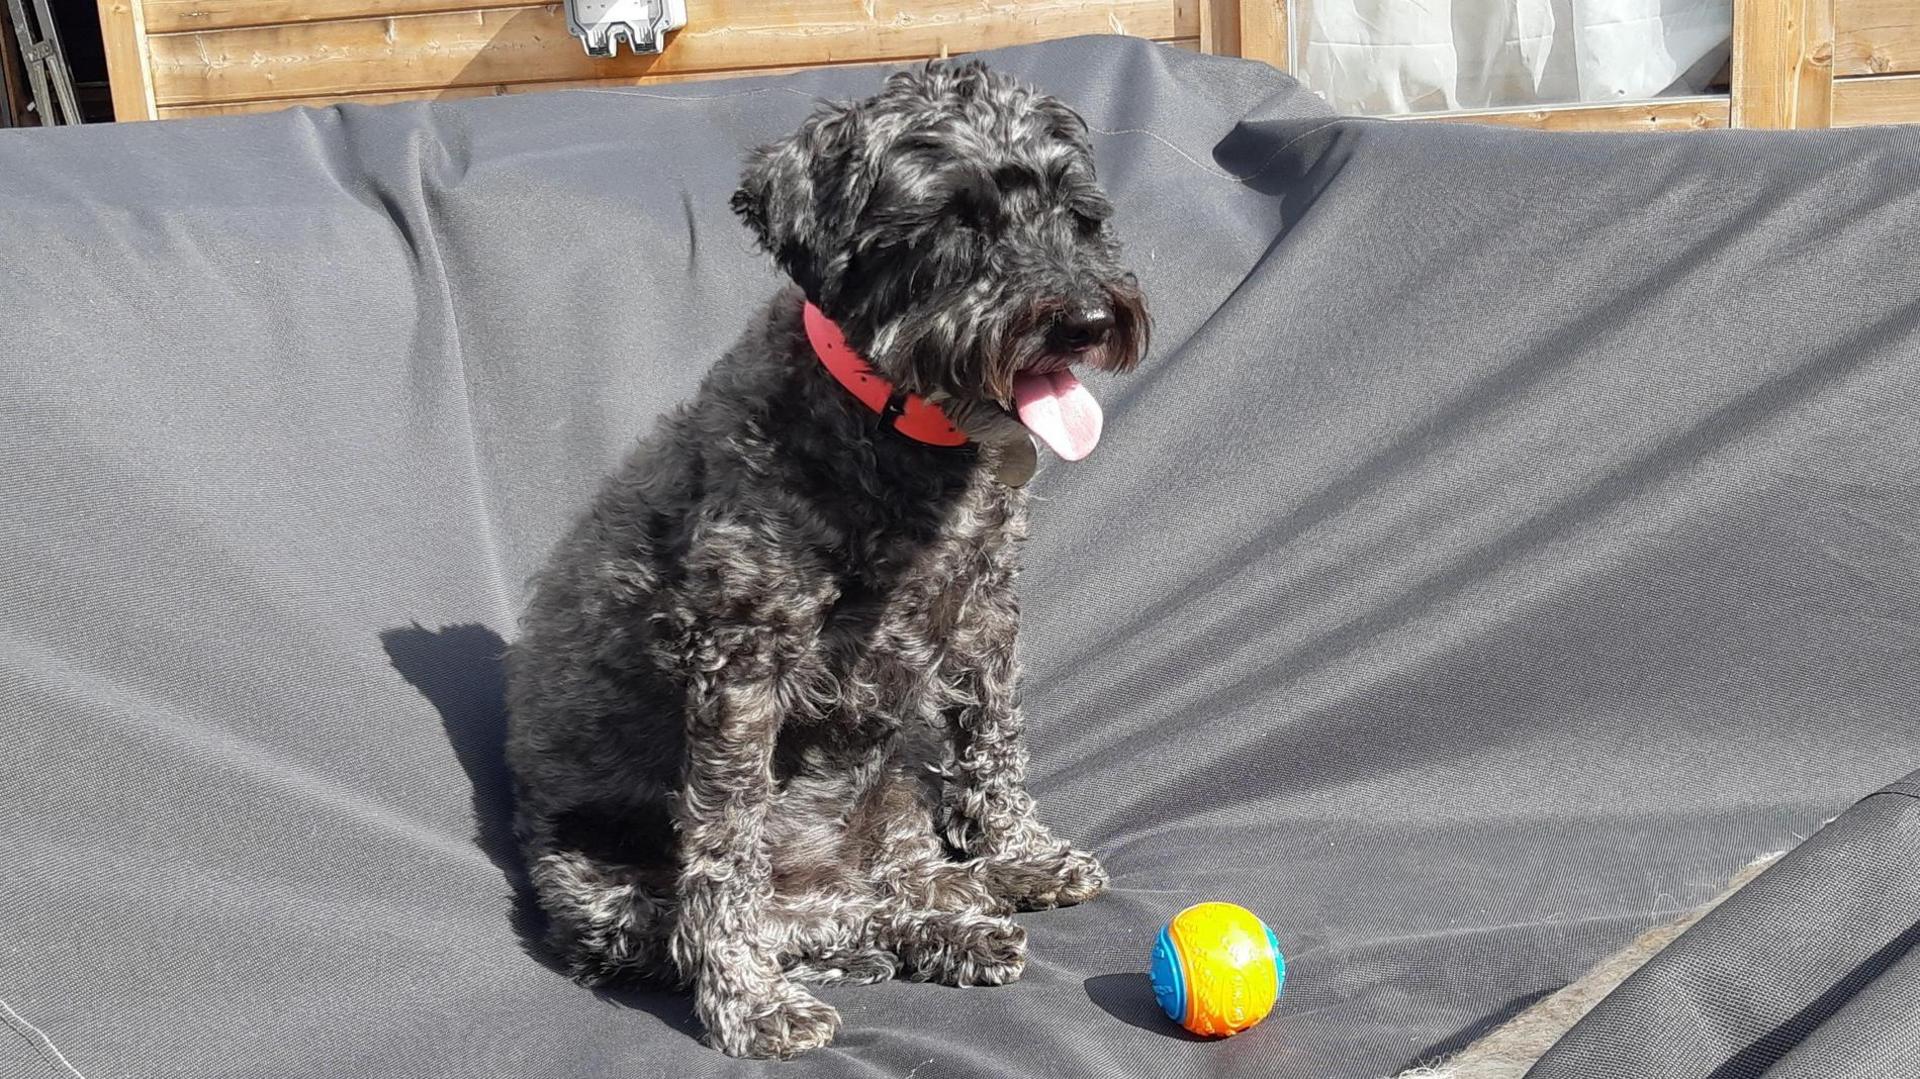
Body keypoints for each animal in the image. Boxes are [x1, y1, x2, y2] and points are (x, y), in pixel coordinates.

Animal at [503, 56, 1144, 1052]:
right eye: (957, 220)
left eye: (1076, 213)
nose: (1082, 317)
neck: (897, 432)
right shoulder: (740, 663)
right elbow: (723, 853)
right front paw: (746, 1003)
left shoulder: (985, 603)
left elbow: (995, 736)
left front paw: (1024, 851)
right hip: (606, 890)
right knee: (786, 915)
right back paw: (931, 935)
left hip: (894, 781)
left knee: (898, 875)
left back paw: (973, 896)